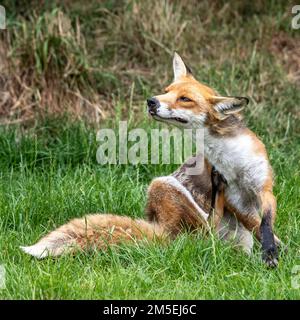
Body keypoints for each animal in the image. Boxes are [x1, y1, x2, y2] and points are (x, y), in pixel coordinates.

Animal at [146, 53, 282, 268]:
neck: (234, 161)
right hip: (164, 186)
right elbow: (252, 225)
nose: (151, 101)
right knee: (206, 232)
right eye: (165, 91)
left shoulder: (263, 187)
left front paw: (271, 252)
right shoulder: (234, 199)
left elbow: (265, 225)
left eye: (185, 99)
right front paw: (273, 253)